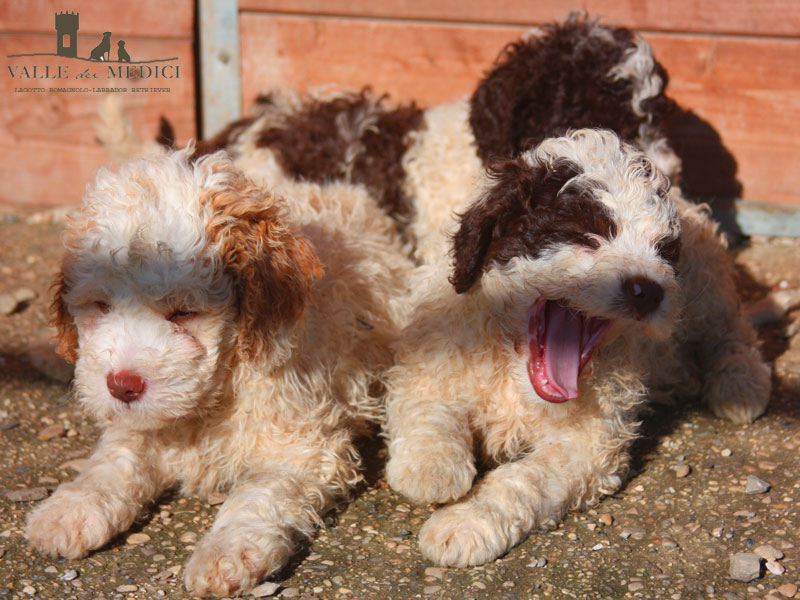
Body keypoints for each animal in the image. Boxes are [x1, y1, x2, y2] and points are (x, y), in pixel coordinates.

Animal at [25, 149, 412, 596]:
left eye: (184, 312)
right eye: (102, 306)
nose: (122, 386)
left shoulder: (302, 446)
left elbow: (258, 493)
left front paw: (226, 553)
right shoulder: (138, 422)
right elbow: (115, 459)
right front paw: (72, 507)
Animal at [384, 130, 772, 568]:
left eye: (663, 251)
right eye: (587, 235)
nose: (649, 290)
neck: (513, 367)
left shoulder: (589, 445)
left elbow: (524, 480)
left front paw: (466, 523)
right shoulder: (430, 355)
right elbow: (427, 406)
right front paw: (430, 467)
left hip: (707, 288)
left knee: (732, 331)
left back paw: (740, 386)